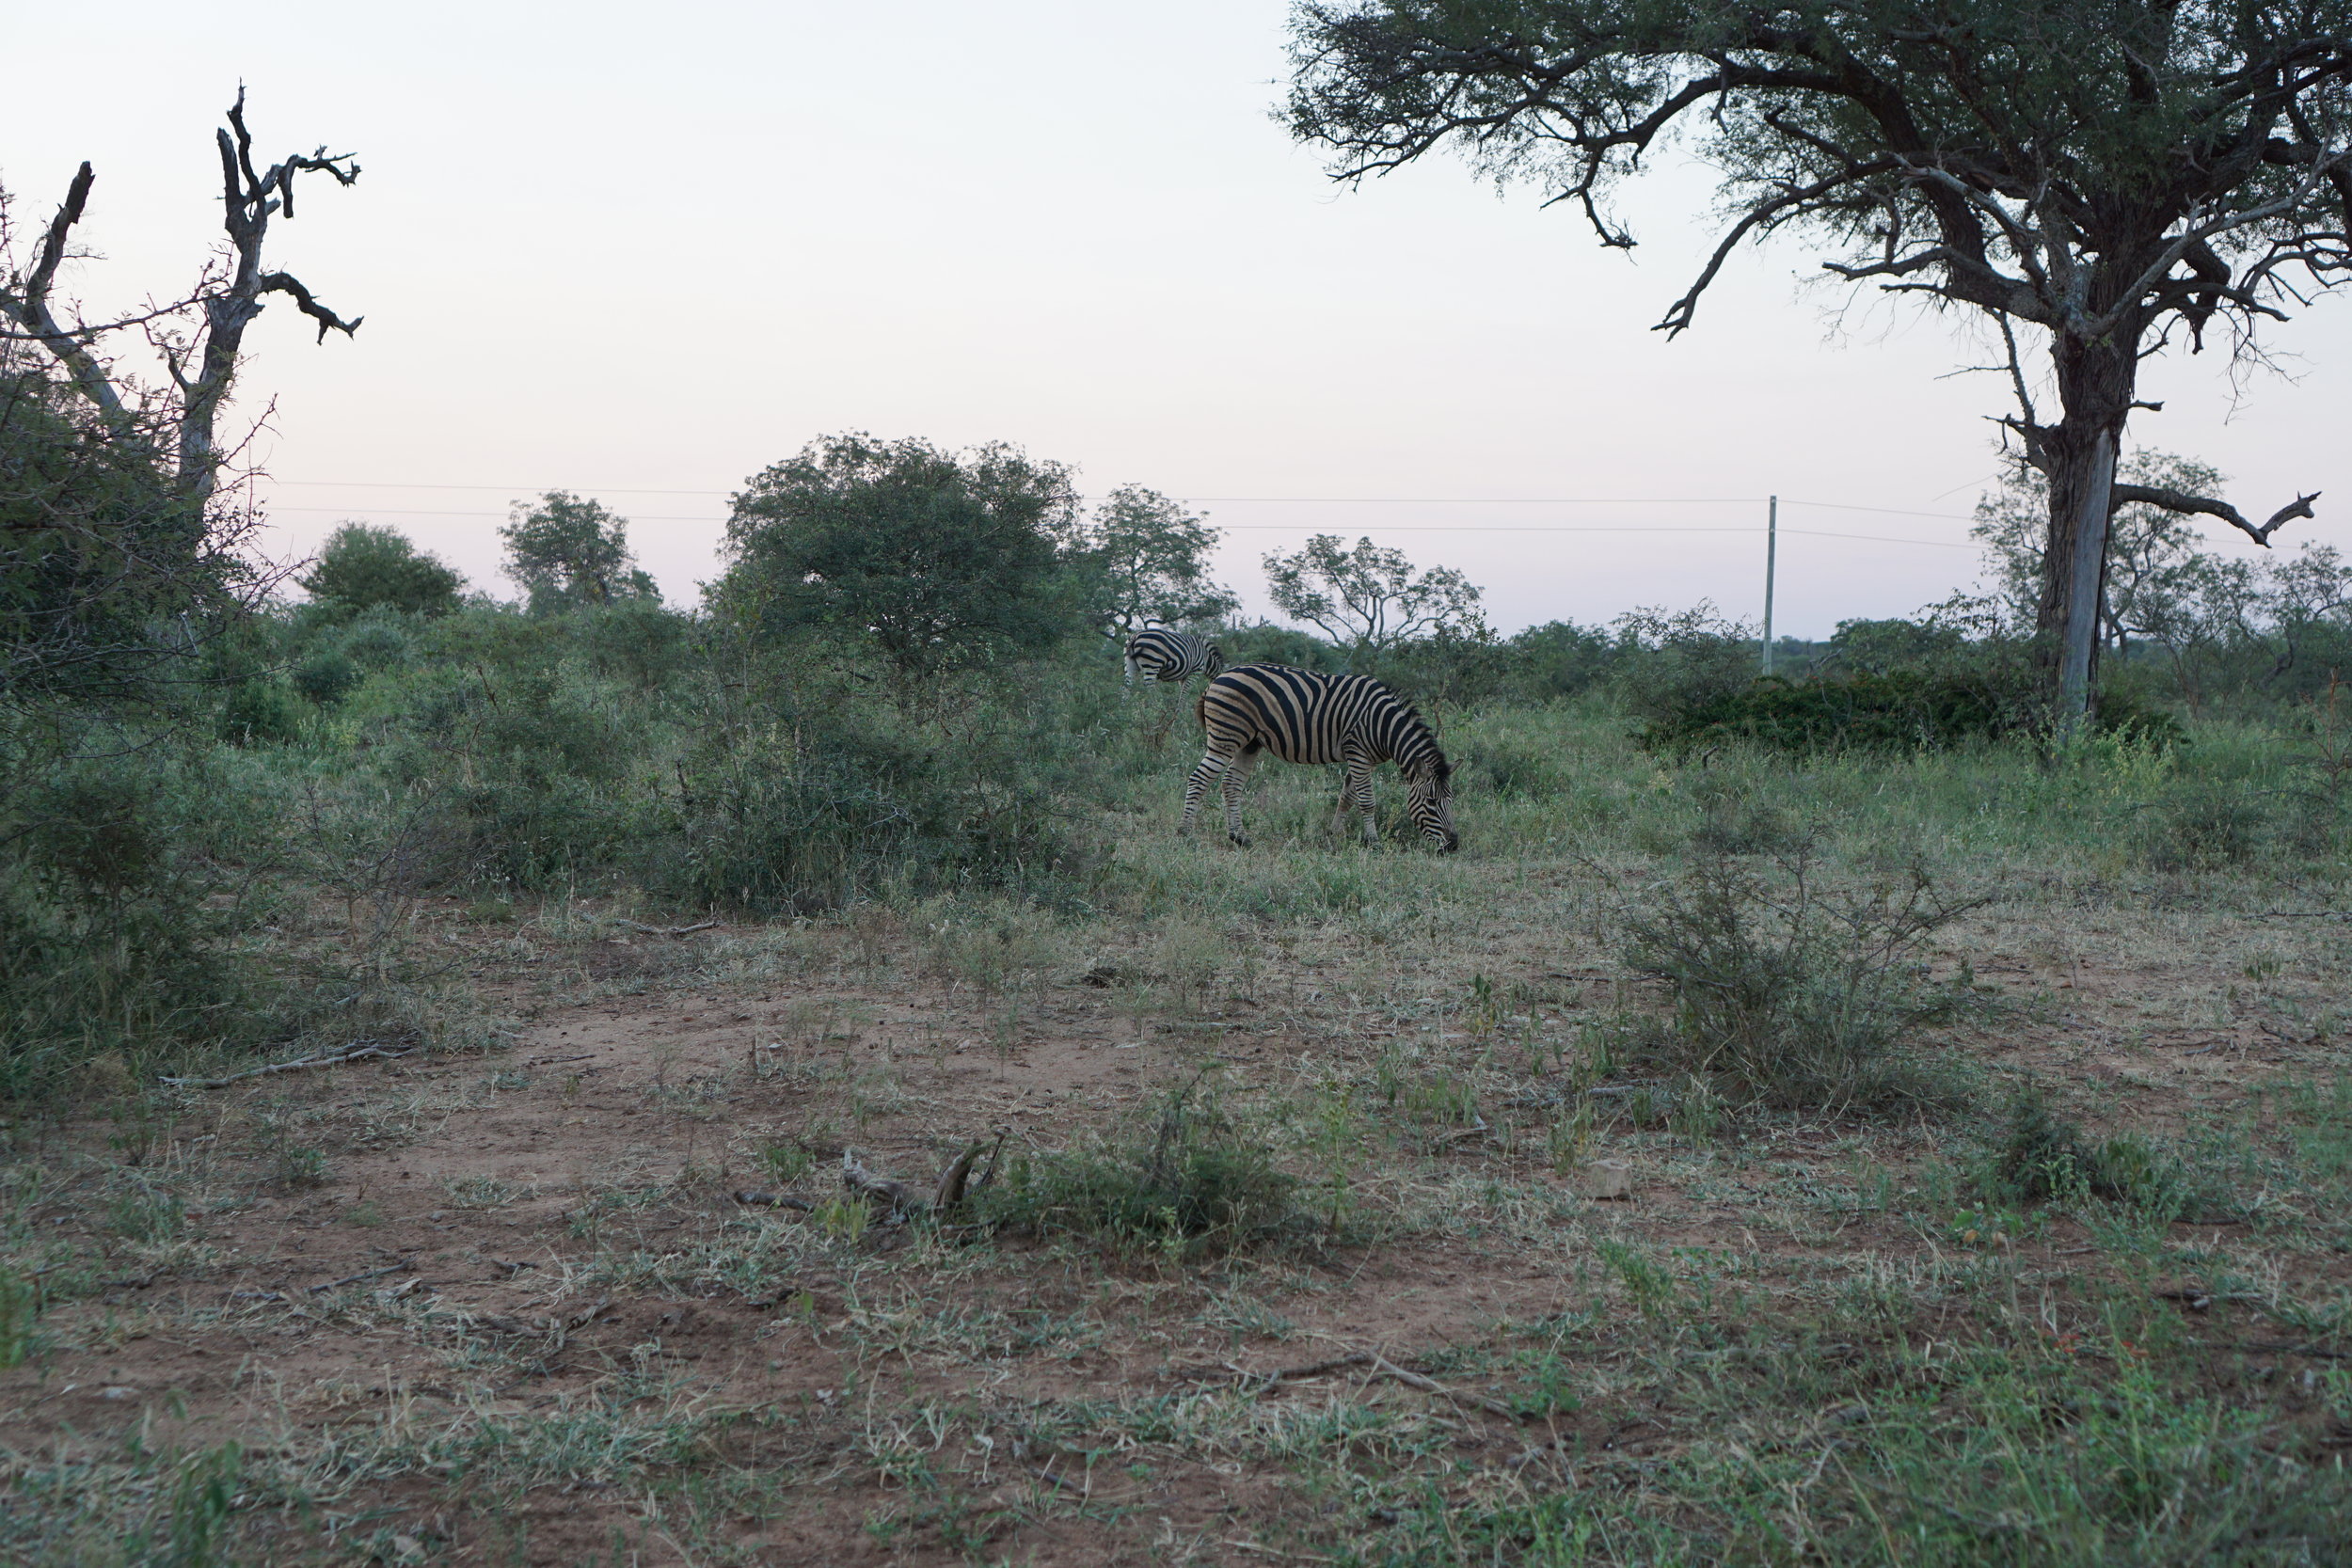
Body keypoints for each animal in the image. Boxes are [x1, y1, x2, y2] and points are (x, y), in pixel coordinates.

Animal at [1181, 664, 1458, 851]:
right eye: (1431, 802)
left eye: (1451, 801)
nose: (1452, 846)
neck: (1383, 725)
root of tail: (1218, 678)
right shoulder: (1358, 752)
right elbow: (1367, 801)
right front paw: (1374, 842)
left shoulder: (1362, 758)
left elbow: (1347, 798)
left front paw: (1333, 834)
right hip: (1226, 737)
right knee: (1199, 779)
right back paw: (1186, 834)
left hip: (1249, 743)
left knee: (1231, 785)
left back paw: (1240, 837)